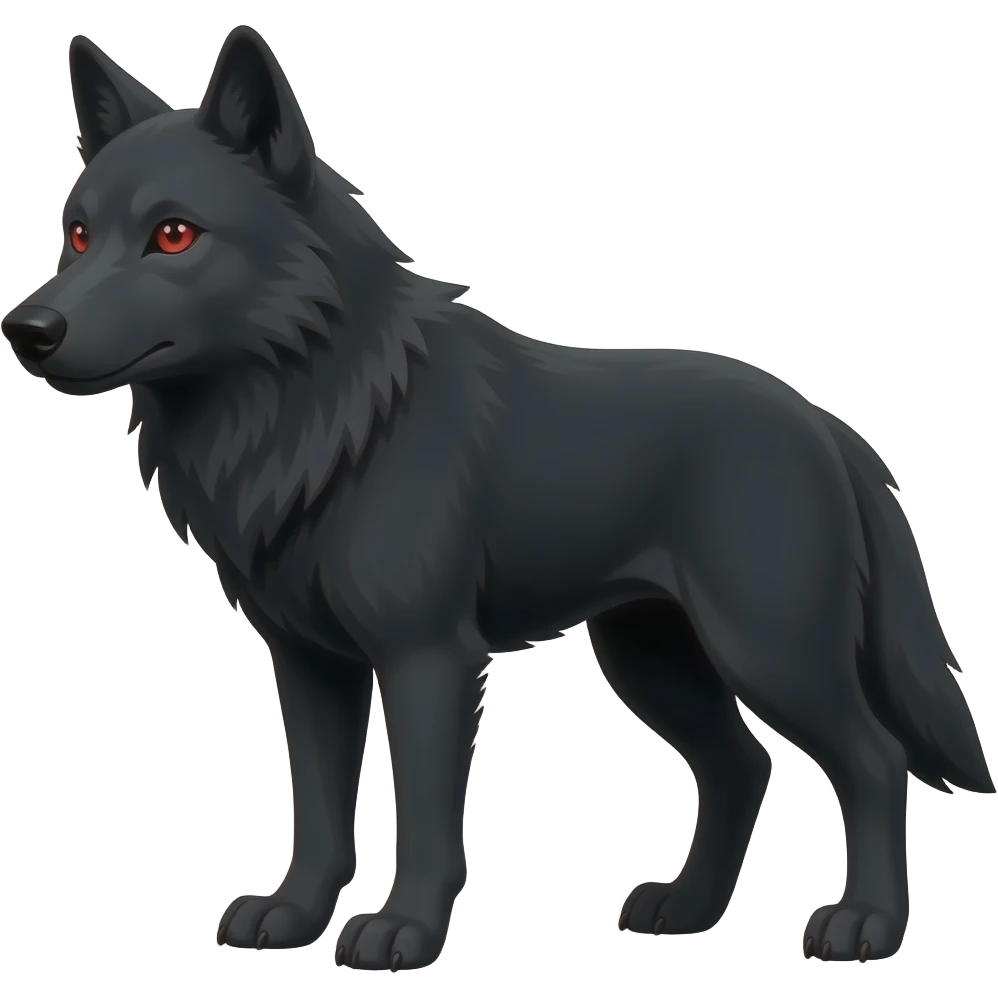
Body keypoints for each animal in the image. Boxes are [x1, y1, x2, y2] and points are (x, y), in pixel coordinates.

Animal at [2, 25, 991, 971]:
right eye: (77, 235)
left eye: (173, 235)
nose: (27, 330)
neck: (325, 408)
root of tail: (828, 426)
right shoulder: (309, 664)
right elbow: (318, 814)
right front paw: (292, 918)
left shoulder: (428, 657)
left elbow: (427, 821)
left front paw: (401, 932)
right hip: (652, 661)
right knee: (743, 768)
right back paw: (686, 911)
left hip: (769, 651)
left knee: (874, 760)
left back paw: (865, 926)